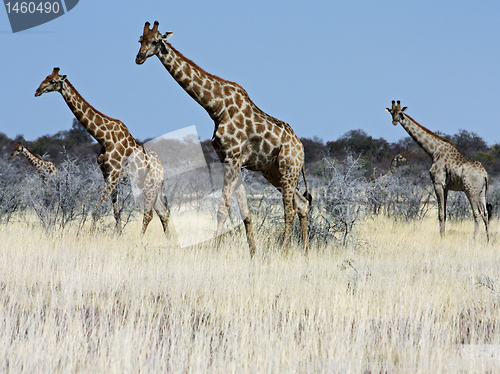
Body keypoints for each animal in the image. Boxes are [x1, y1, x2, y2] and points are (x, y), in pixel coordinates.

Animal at [35, 68, 170, 235]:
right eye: (46, 77)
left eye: (53, 81)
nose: (37, 91)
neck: (103, 138)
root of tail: (162, 169)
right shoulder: (107, 175)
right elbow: (116, 212)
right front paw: (118, 235)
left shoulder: (113, 175)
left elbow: (97, 210)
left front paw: (90, 235)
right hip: (149, 186)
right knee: (163, 212)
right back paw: (169, 239)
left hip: (150, 186)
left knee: (149, 213)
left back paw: (141, 237)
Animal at [135, 21, 310, 256]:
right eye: (140, 40)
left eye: (155, 41)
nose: (139, 57)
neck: (216, 108)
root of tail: (301, 149)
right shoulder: (230, 160)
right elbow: (245, 212)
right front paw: (253, 253)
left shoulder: (233, 159)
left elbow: (222, 210)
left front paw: (214, 251)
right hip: (272, 171)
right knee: (302, 203)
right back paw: (306, 253)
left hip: (288, 169)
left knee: (289, 209)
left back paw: (284, 251)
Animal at [386, 99, 488, 240]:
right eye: (391, 112)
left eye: (400, 112)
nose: (395, 121)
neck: (433, 151)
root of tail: (485, 174)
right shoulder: (445, 186)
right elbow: (444, 214)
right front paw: (443, 235)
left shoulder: (437, 183)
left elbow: (440, 214)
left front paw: (441, 238)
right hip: (482, 191)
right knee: (485, 213)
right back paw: (488, 240)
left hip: (471, 190)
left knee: (476, 213)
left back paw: (474, 239)